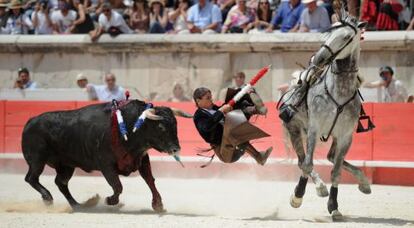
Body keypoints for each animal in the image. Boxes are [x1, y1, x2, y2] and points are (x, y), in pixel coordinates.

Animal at [21, 100, 192, 212]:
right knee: (31, 178)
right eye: (161, 127)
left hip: (66, 165)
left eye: (176, 125)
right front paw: (110, 200)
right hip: (37, 160)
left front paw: (158, 205)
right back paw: (48, 198)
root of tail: (30, 121)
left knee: (61, 183)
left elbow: (150, 180)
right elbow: (117, 185)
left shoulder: (141, 159)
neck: (129, 127)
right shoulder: (106, 165)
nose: (176, 148)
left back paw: (79, 205)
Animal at [280, 9, 370, 221]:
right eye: (328, 34)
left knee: (331, 158)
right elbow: (308, 164)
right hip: (294, 130)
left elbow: (336, 171)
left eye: (346, 37)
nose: (318, 59)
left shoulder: (346, 136)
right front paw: (297, 197)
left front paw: (334, 206)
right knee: (302, 160)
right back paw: (320, 187)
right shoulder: (314, 129)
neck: (339, 91)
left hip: (334, 136)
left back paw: (364, 183)